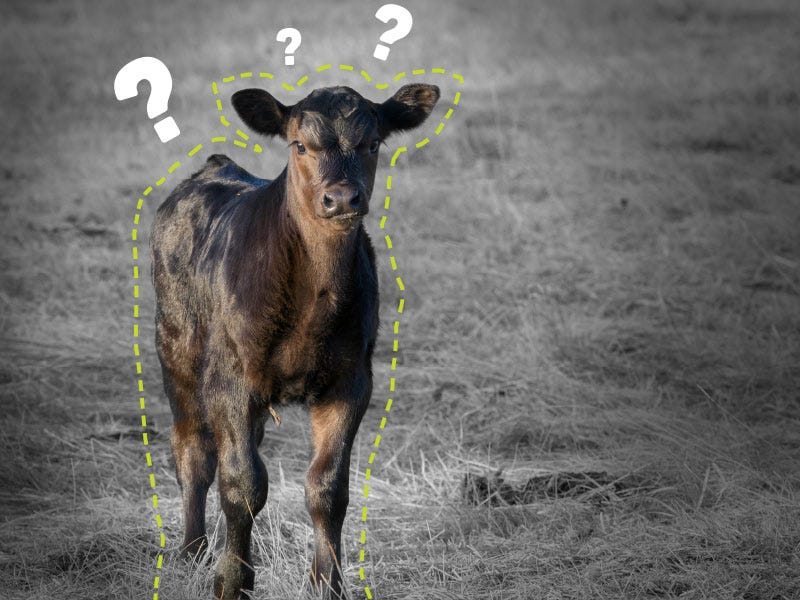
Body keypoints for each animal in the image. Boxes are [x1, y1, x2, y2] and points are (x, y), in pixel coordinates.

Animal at [150, 83, 440, 599]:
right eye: (300, 146)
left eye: (372, 144)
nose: (341, 198)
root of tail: (215, 167)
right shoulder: (229, 380)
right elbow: (242, 482)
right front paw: (232, 580)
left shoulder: (351, 380)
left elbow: (327, 488)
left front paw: (328, 583)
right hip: (177, 348)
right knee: (194, 451)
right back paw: (193, 551)